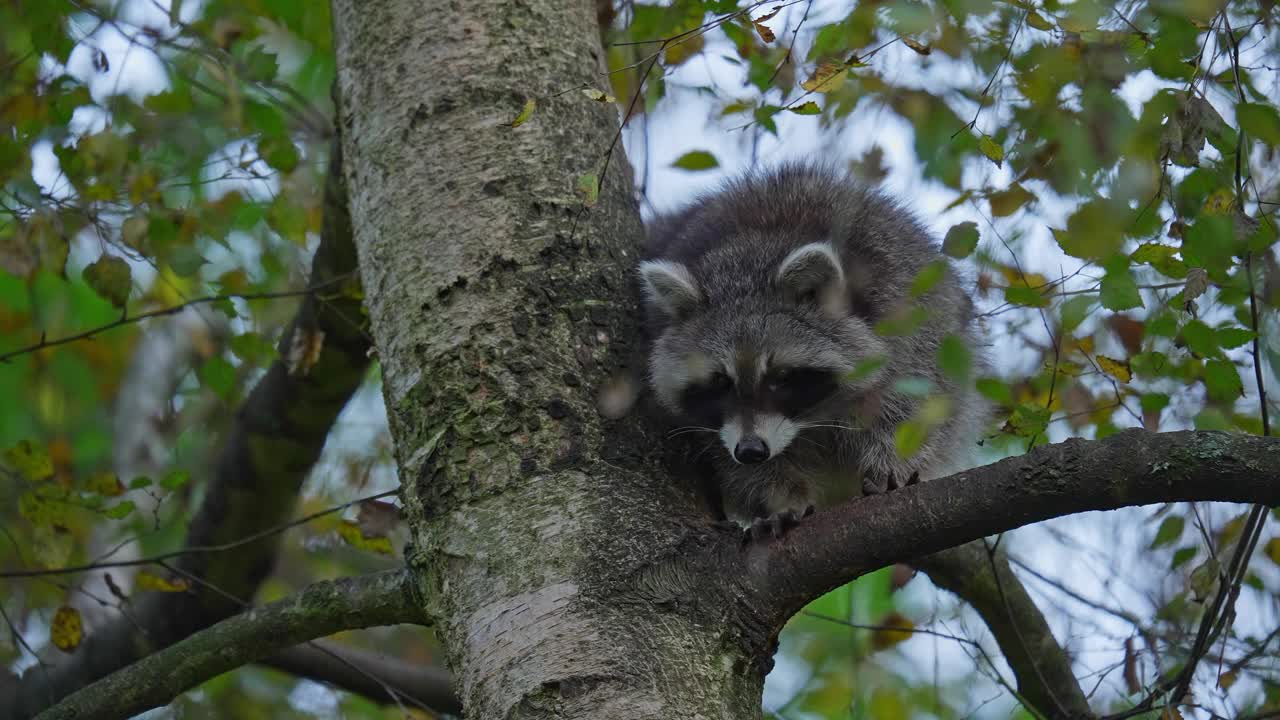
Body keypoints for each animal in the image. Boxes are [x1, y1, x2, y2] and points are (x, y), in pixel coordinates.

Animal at [640, 162, 988, 532]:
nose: (751, 451)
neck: (748, 261)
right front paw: (782, 498)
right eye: (721, 381)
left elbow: (916, 404)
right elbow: (732, 461)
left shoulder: (909, 320)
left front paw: (891, 463)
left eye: (781, 376)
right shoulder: (710, 422)